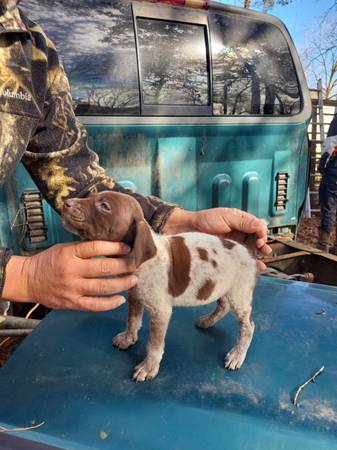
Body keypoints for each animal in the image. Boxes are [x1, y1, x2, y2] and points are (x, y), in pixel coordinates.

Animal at [62, 192, 258, 382]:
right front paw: (128, 338)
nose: (66, 203)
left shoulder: (160, 311)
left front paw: (148, 367)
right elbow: (132, 321)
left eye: (104, 206)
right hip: (223, 286)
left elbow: (154, 344)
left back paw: (237, 355)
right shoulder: (135, 296)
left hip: (239, 293)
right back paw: (208, 321)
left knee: (247, 327)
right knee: (223, 306)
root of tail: (247, 250)